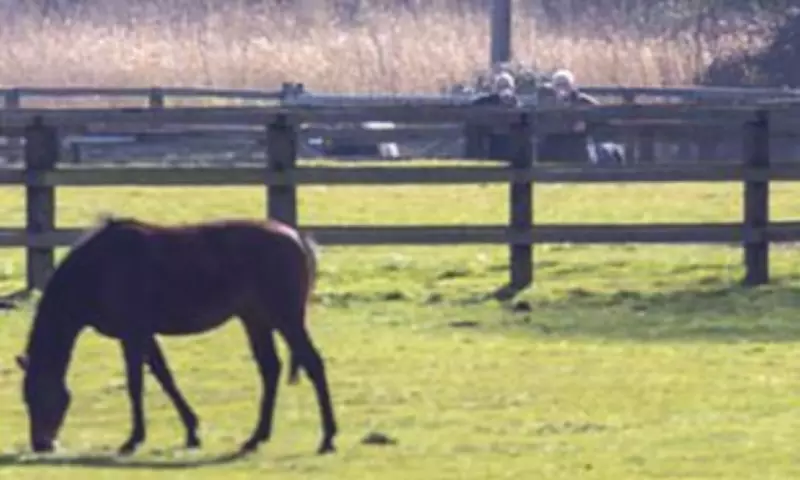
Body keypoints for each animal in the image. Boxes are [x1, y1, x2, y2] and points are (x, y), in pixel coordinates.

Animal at [14, 215, 337, 456]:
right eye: (26, 398)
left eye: (38, 395)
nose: (41, 444)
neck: (100, 268)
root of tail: (296, 237)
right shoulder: (145, 335)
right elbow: (164, 377)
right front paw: (192, 432)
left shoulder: (132, 334)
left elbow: (136, 384)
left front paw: (133, 440)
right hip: (255, 320)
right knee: (270, 369)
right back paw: (256, 438)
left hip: (286, 319)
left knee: (313, 364)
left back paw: (327, 438)